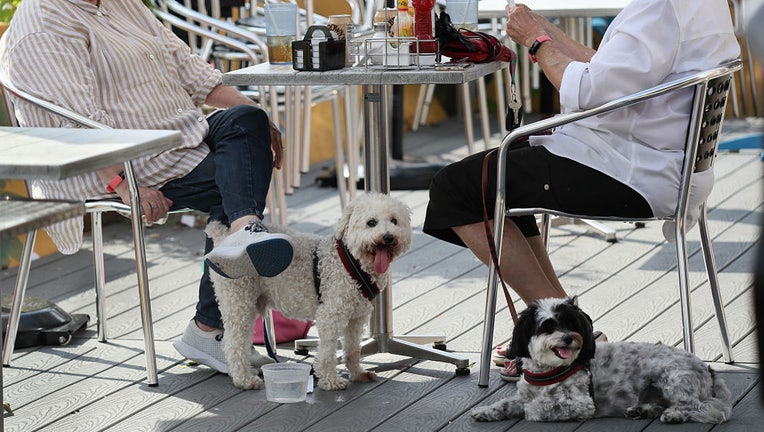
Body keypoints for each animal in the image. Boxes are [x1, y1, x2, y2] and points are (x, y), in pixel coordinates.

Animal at [206, 192, 412, 392]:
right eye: (371, 222)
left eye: (394, 220)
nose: (388, 237)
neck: (353, 262)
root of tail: (222, 236)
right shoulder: (331, 315)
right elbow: (327, 352)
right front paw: (330, 380)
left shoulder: (356, 318)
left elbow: (353, 349)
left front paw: (357, 374)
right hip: (238, 302)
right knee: (233, 344)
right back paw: (244, 379)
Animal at [472, 296, 736, 422]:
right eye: (547, 326)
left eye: (572, 324)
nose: (569, 337)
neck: (549, 370)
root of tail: (708, 369)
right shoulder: (525, 394)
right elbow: (506, 403)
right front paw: (486, 411)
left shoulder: (581, 404)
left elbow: (539, 407)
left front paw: (531, 411)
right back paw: (641, 410)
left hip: (672, 379)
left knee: (696, 406)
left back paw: (674, 415)